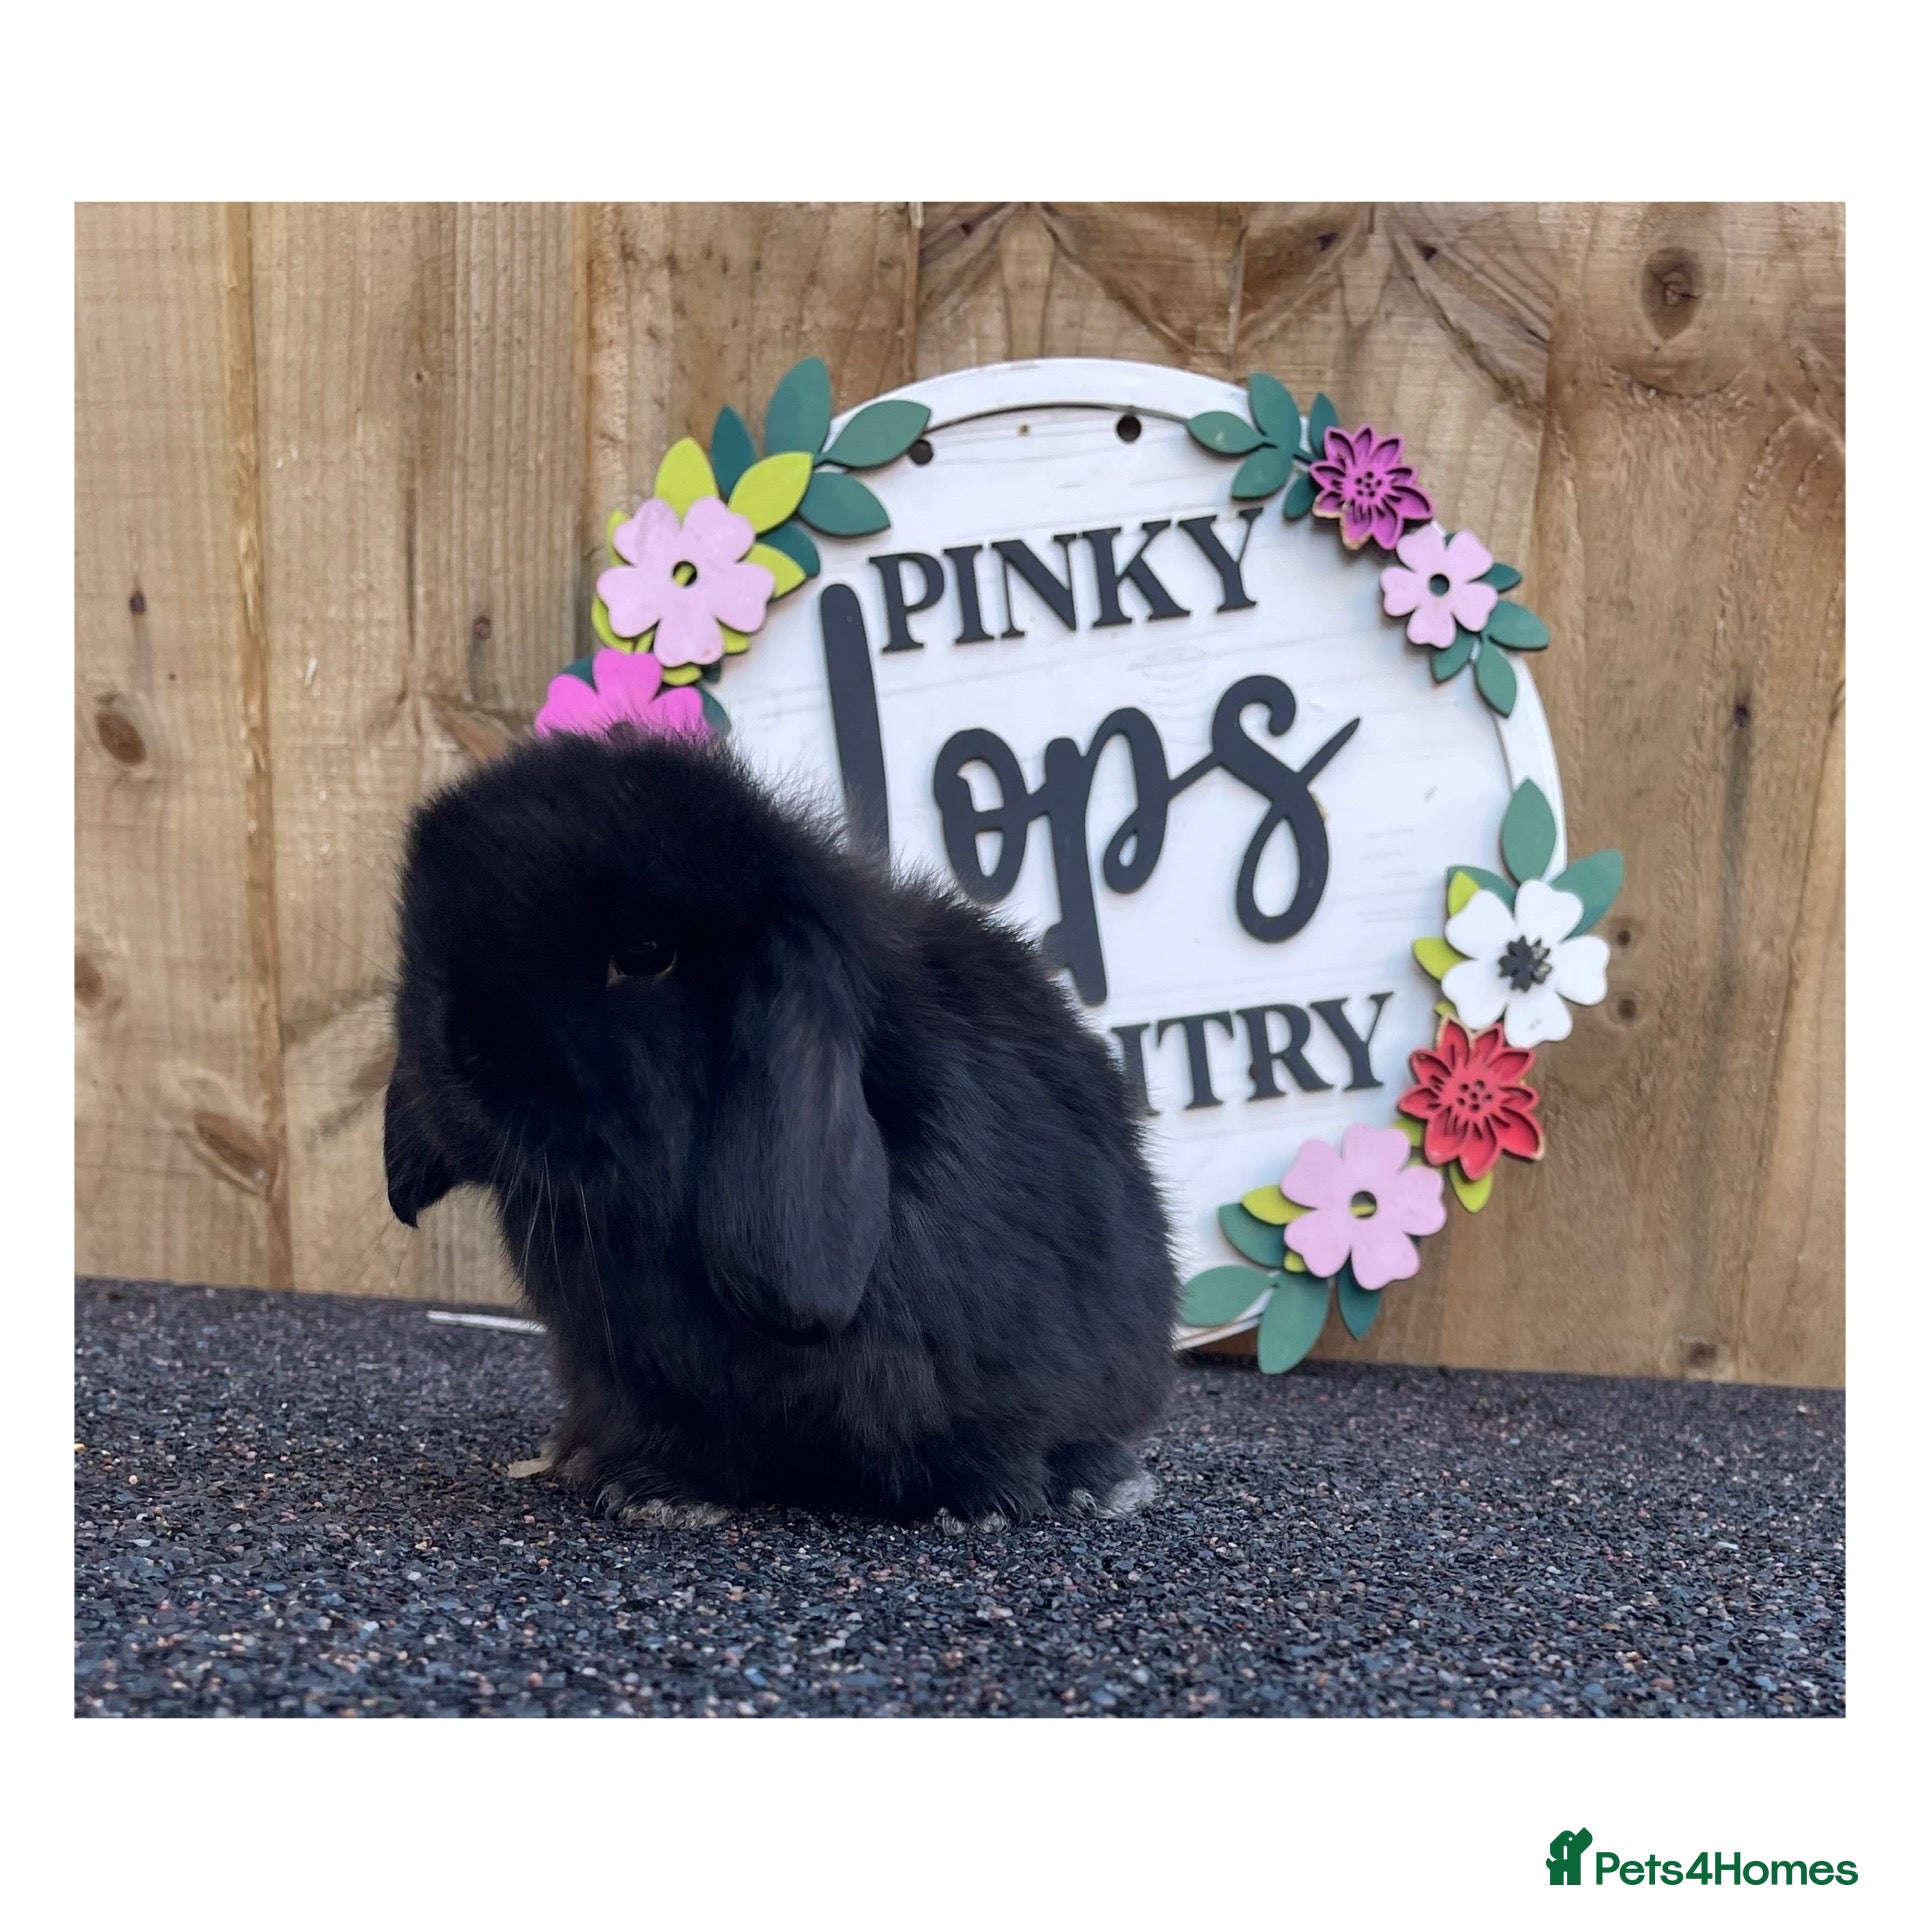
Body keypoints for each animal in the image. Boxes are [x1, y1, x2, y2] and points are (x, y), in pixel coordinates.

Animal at [383, 725, 1177, 1527]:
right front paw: (645, 1489)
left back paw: (1094, 1480)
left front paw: (980, 1501)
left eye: (644, 953)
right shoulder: (638, 1378)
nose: (460, 1055)